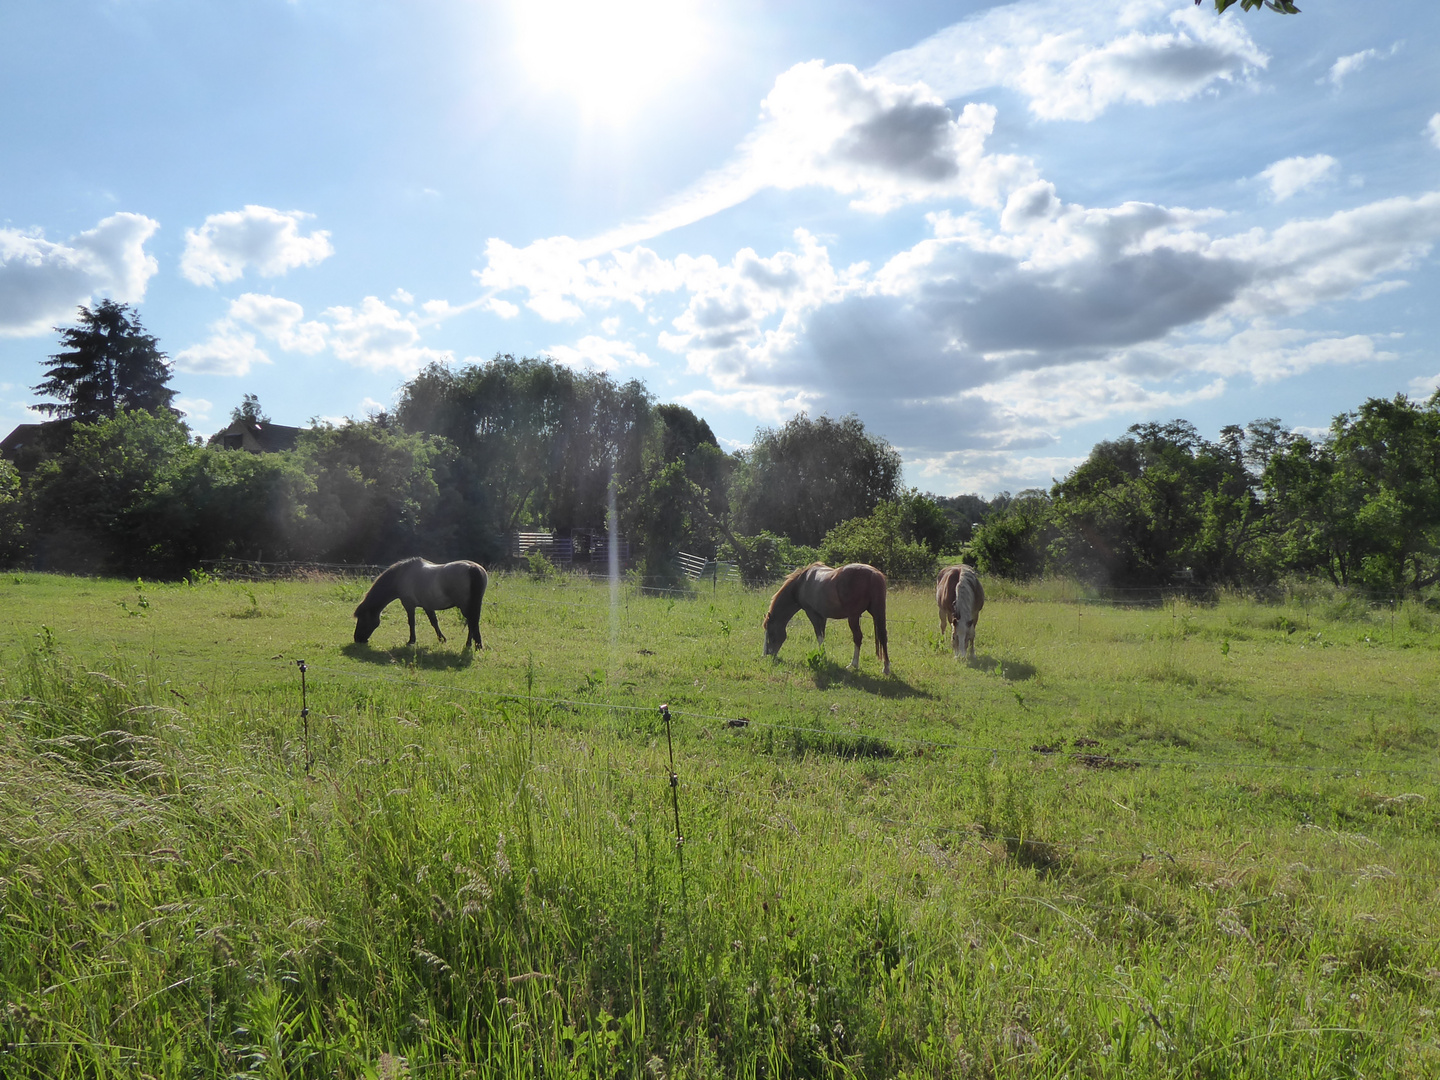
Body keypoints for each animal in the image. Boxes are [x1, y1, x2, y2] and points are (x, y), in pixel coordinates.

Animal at [351, 561, 486, 648]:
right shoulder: (427, 606)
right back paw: (472, 644)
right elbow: (434, 622)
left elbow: (411, 623)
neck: (402, 576)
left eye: (362, 619)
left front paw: (411, 641)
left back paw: (473, 644)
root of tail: (473, 568)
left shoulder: (409, 605)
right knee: (472, 623)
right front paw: (442, 639)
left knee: (472, 622)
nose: (357, 639)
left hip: (465, 606)